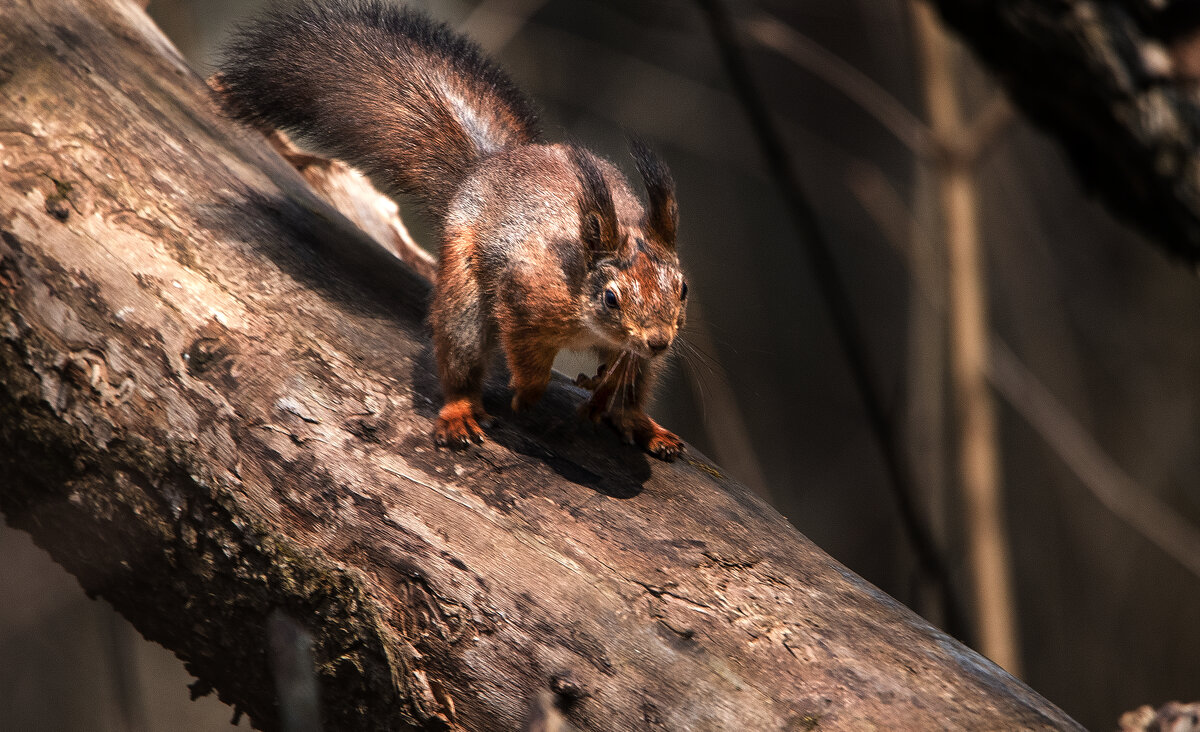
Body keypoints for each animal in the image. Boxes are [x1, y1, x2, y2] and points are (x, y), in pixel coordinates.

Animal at [213, 0, 686, 458]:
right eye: (611, 298)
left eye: (682, 289)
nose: (660, 341)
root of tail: (484, 169)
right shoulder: (525, 295)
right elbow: (524, 353)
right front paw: (528, 394)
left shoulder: (635, 347)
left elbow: (628, 374)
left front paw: (608, 394)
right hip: (463, 290)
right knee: (461, 354)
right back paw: (460, 412)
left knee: (635, 395)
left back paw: (644, 426)